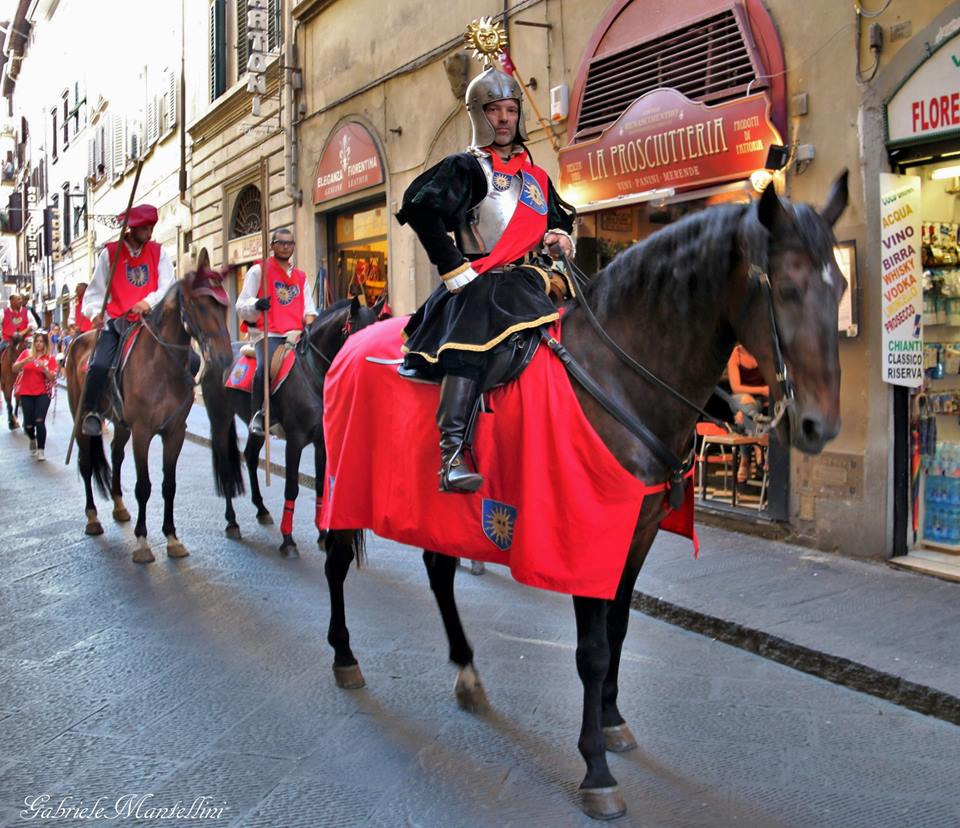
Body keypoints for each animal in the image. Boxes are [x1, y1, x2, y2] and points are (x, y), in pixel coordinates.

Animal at [64, 268, 244, 568]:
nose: (224, 357)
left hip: (121, 425)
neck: (161, 365)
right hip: (81, 421)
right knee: (87, 463)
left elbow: (168, 485)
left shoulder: (174, 432)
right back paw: (92, 518)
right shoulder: (142, 432)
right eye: (201, 306)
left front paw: (172, 538)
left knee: (115, 454)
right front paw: (142, 541)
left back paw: (119, 506)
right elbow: (144, 486)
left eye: (224, 306)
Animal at [216, 292, 384, 556]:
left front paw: (323, 536)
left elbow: (320, 485)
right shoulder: (294, 441)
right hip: (222, 417)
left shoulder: (322, 442)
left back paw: (261, 510)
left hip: (257, 431)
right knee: (226, 463)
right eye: (358, 333)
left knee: (250, 456)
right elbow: (292, 487)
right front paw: (288, 539)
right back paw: (232, 522)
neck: (314, 375)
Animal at [324, 175, 856, 820]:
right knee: (335, 560)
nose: (819, 426)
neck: (621, 374)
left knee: (438, 571)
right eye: (790, 286)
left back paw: (468, 672)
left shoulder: (637, 529)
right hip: (343, 482)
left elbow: (620, 630)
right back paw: (345, 658)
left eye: (841, 287)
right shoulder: (584, 531)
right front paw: (596, 769)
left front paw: (613, 721)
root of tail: (349, 342)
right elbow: (593, 650)